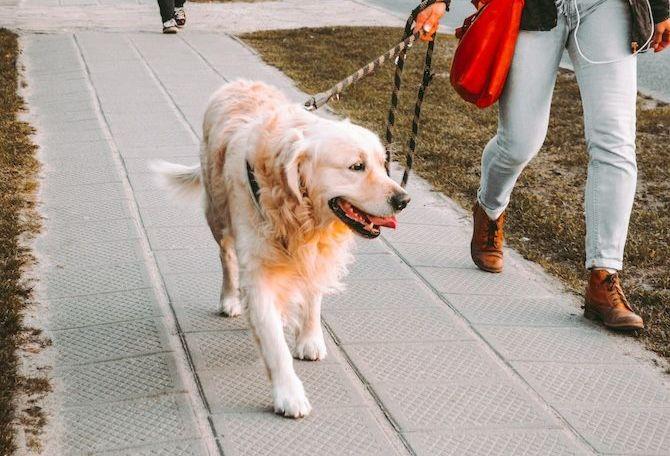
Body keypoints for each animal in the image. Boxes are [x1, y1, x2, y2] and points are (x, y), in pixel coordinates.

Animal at [155, 81, 412, 416]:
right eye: (357, 166)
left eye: (383, 165)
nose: (404, 200)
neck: (299, 213)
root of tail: (237, 82)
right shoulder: (258, 274)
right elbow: (275, 344)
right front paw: (289, 394)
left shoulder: (315, 255)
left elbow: (313, 296)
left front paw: (309, 338)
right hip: (217, 214)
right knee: (226, 257)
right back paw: (230, 298)